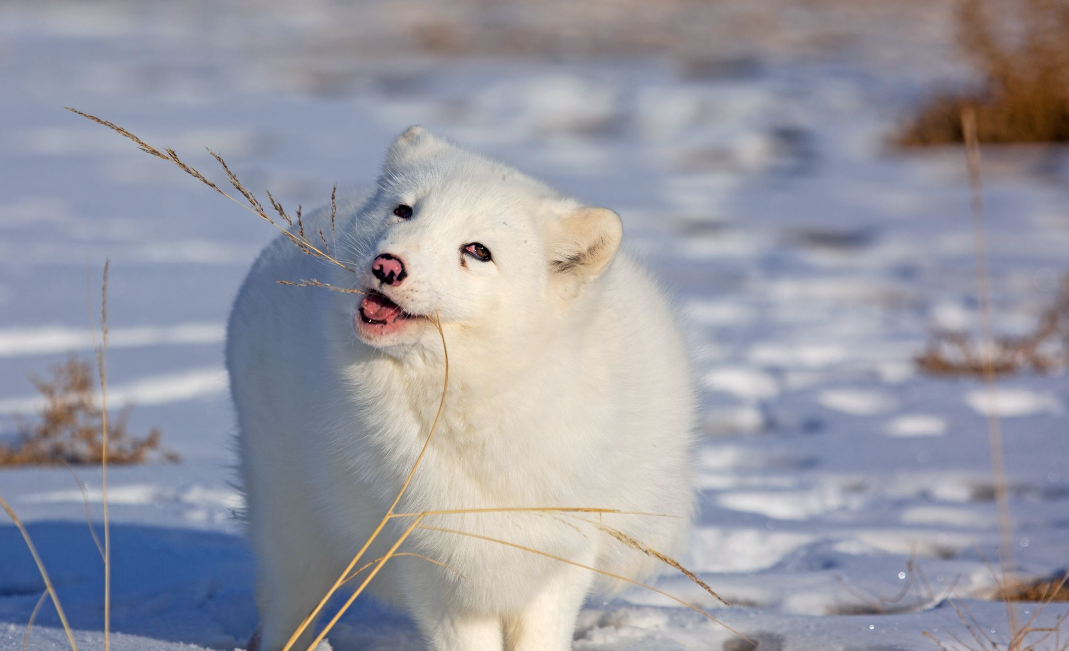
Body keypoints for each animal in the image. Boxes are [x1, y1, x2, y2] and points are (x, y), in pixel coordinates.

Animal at [227, 127, 692, 649]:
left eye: (477, 251)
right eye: (403, 211)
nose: (387, 266)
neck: (486, 408)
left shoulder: (561, 560)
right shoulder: (433, 566)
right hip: (294, 535)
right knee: (288, 610)